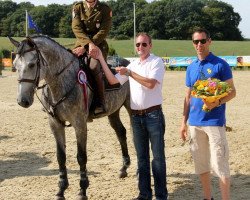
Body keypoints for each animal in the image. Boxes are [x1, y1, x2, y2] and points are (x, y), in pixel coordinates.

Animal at [9, 35, 132, 199]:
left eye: (32, 64)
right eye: (15, 65)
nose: (22, 101)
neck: (61, 83)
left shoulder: (79, 124)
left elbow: (81, 156)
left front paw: (83, 190)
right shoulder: (55, 124)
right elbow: (61, 156)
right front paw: (61, 189)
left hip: (131, 107)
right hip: (114, 111)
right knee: (121, 132)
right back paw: (123, 168)